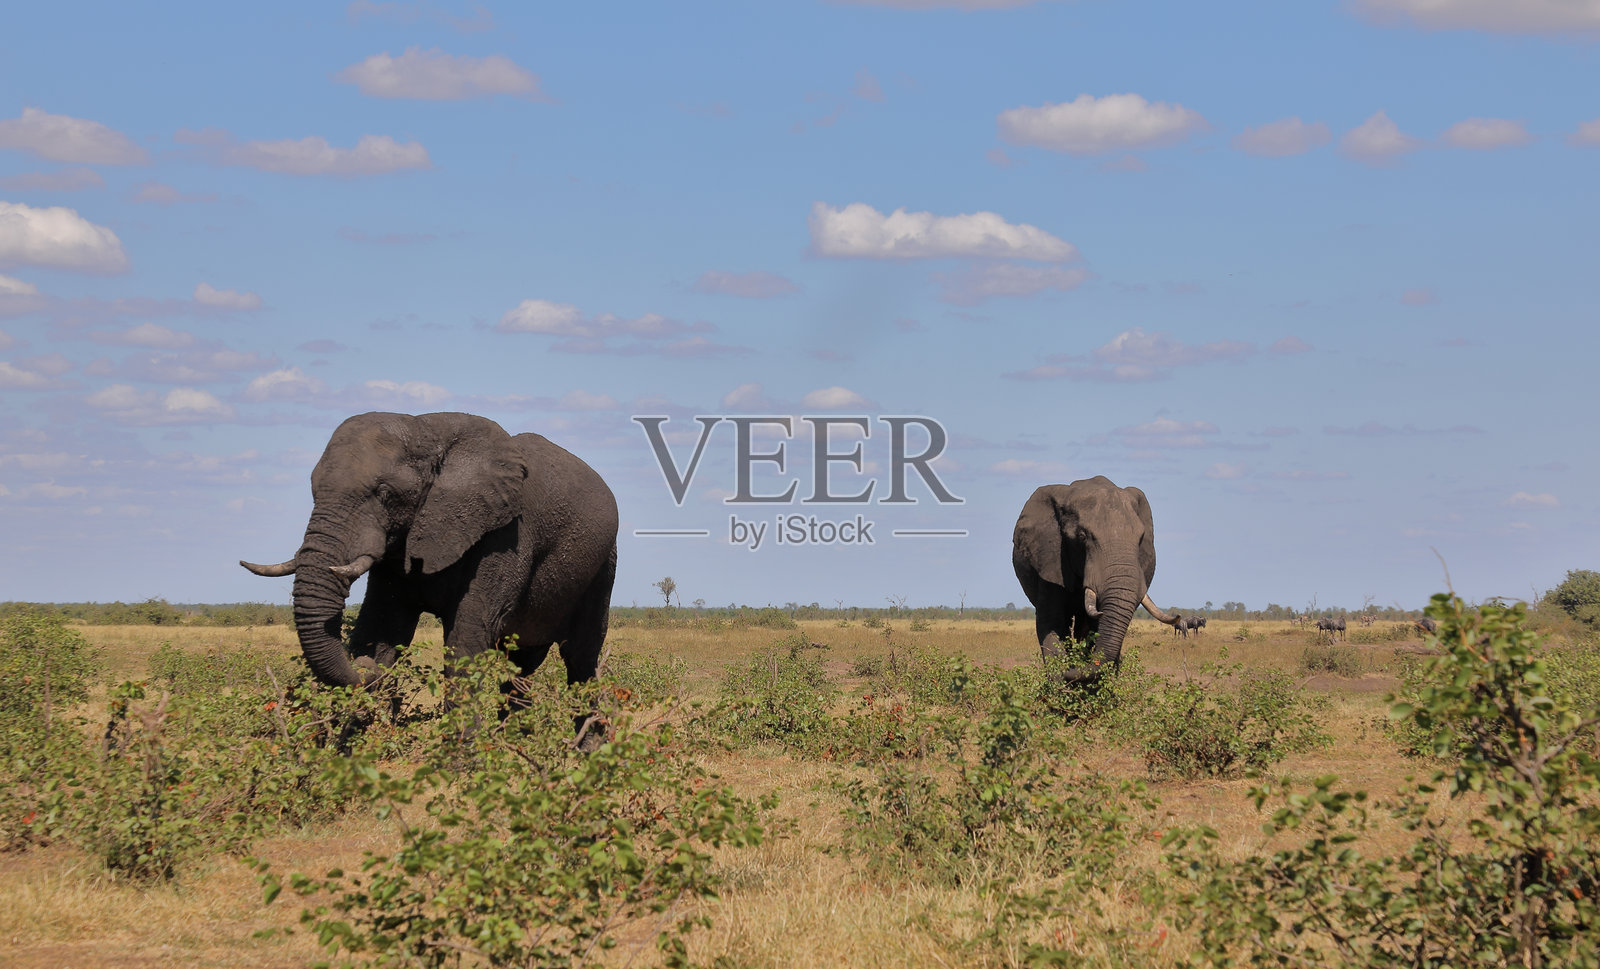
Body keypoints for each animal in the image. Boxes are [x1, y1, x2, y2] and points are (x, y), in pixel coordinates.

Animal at [240, 411, 618, 702]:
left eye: (384, 493)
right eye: (313, 489)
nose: (362, 666)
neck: (427, 430)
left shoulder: (507, 535)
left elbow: (466, 643)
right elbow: (384, 628)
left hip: (604, 566)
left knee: (581, 661)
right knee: (520, 669)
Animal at [1012, 476, 1183, 683]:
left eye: (1141, 538)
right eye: (1082, 536)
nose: (1071, 671)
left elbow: (1098, 628)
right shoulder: (1049, 560)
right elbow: (1051, 623)